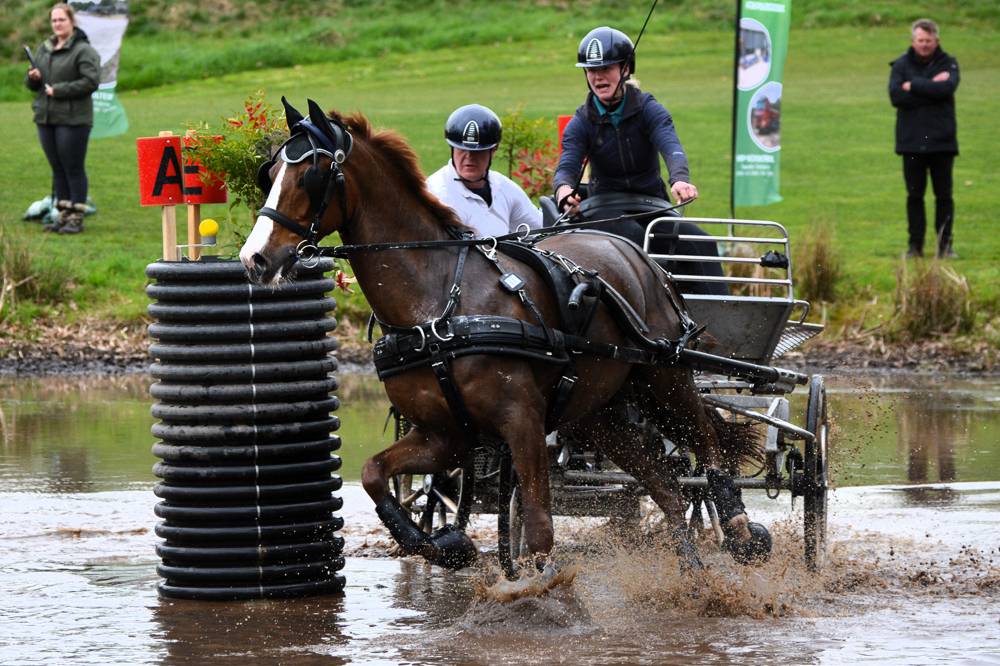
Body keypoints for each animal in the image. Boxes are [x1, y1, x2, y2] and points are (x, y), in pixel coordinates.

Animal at [239, 98, 770, 580]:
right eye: (270, 174)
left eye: (310, 175)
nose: (254, 259)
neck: (440, 304)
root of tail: (638, 254)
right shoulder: (443, 434)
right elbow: (375, 475)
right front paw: (447, 546)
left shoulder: (522, 423)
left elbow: (538, 530)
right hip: (599, 413)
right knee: (665, 485)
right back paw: (692, 575)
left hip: (664, 379)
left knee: (706, 443)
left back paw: (739, 529)